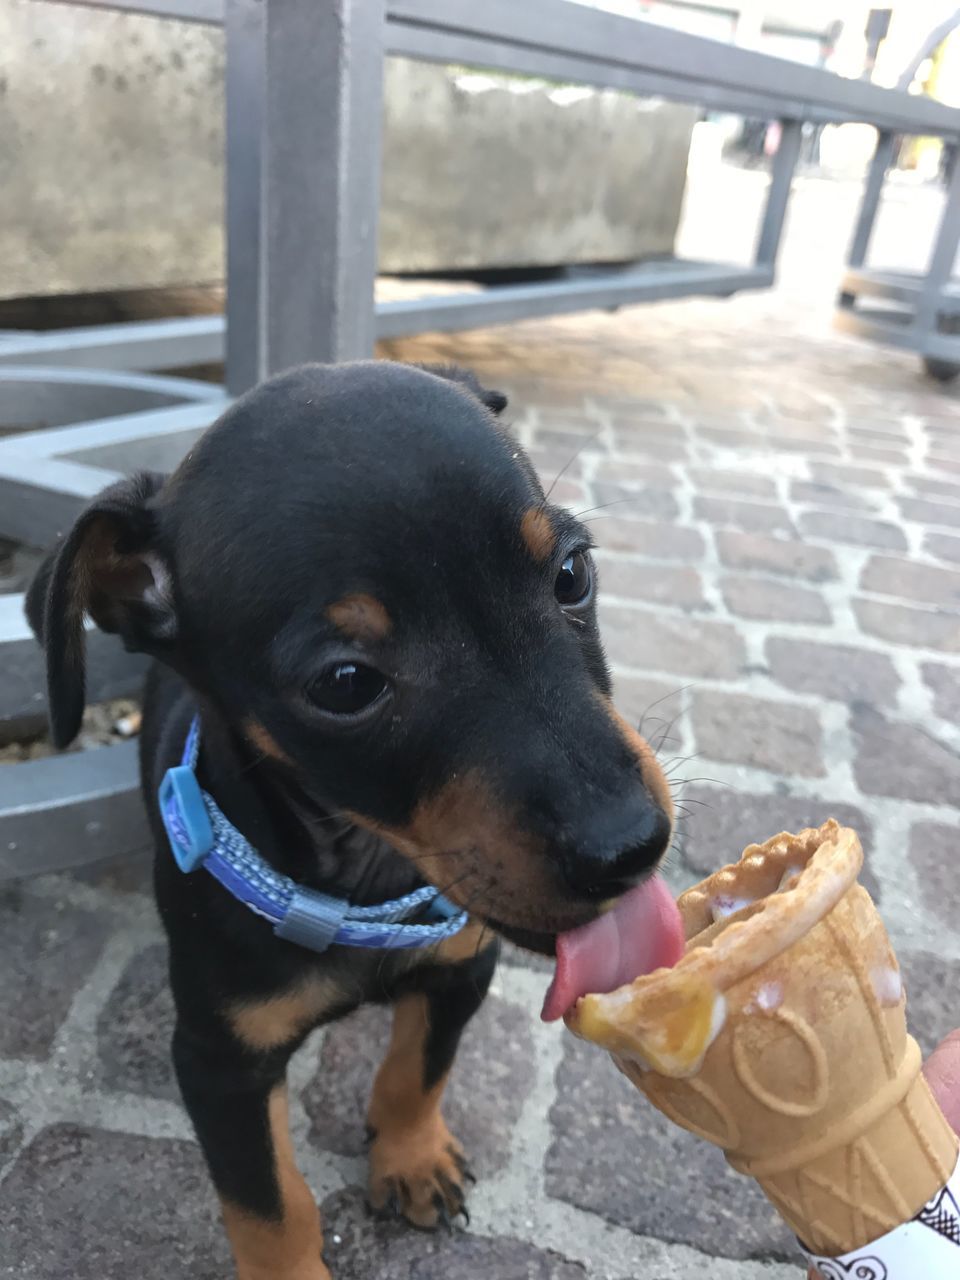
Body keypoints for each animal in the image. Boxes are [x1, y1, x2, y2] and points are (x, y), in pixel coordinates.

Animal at [28, 360, 675, 1280]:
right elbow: (269, 1206)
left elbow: (418, 1071)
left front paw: (410, 1158)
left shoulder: (460, 971)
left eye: (572, 575)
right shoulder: (219, 1061)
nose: (631, 846)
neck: (364, 881)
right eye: (345, 684)